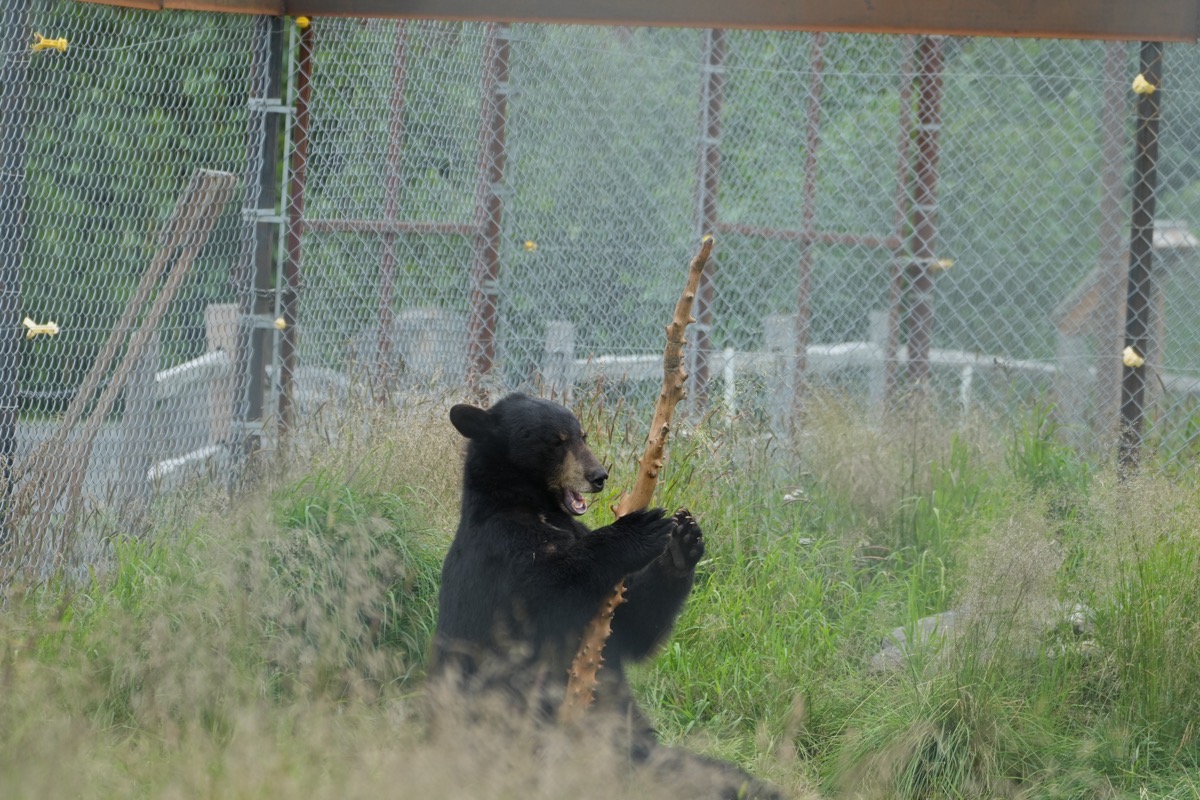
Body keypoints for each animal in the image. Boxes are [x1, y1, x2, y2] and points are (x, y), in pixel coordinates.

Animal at [428, 392, 784, 800]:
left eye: (581, 434)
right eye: (555, 441)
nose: (598, 476)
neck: (533, 507)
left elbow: (630, 624)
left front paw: (683, 542)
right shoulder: (501, 550)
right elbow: (548, 595)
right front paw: (640, 528)